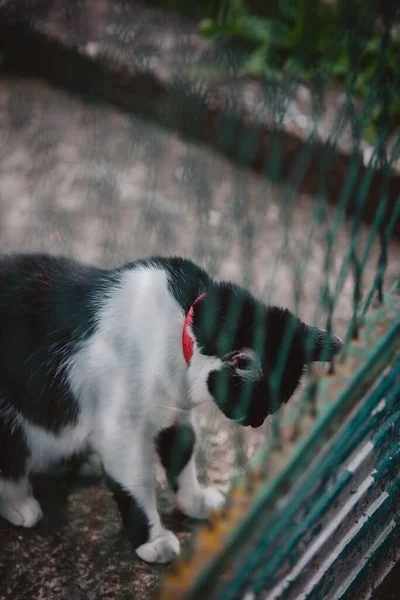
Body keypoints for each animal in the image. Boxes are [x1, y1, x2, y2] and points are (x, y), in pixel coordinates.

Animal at [0, 253, 344, 564]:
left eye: (272, 407)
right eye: (256, 402)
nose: (256, 423)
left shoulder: (175, 413)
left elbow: (183, 451)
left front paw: (195, 501)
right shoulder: (121, 432)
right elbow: (137, 482)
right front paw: (153, 540)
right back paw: (20, 504)